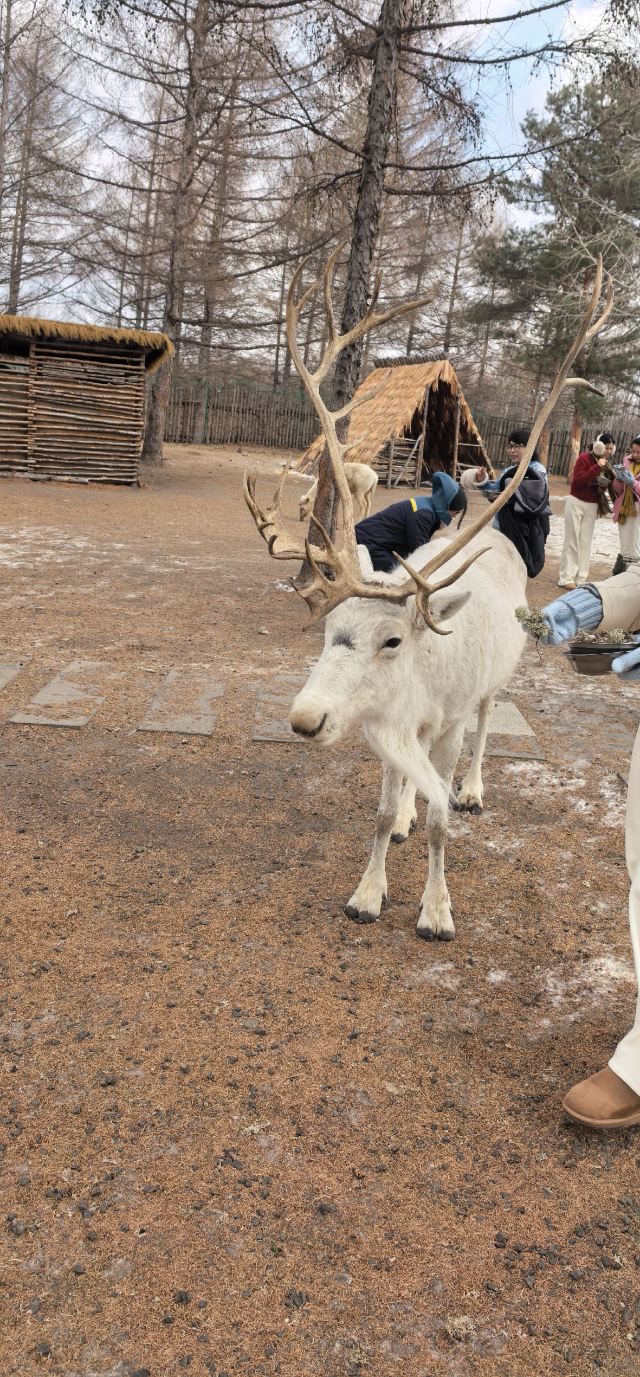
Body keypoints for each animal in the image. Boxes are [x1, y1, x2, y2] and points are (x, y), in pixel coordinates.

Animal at [244, 246, 612, 940]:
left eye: (392, 639)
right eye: (328, 631)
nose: (306, 719)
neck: (419, 681)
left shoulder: (447, 723)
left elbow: (443, 819)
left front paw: (436, 910)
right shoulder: (389, 722)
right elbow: (383, 813)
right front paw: (368, 891)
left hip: (492, 689)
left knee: (487, 728)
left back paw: (472, 790)